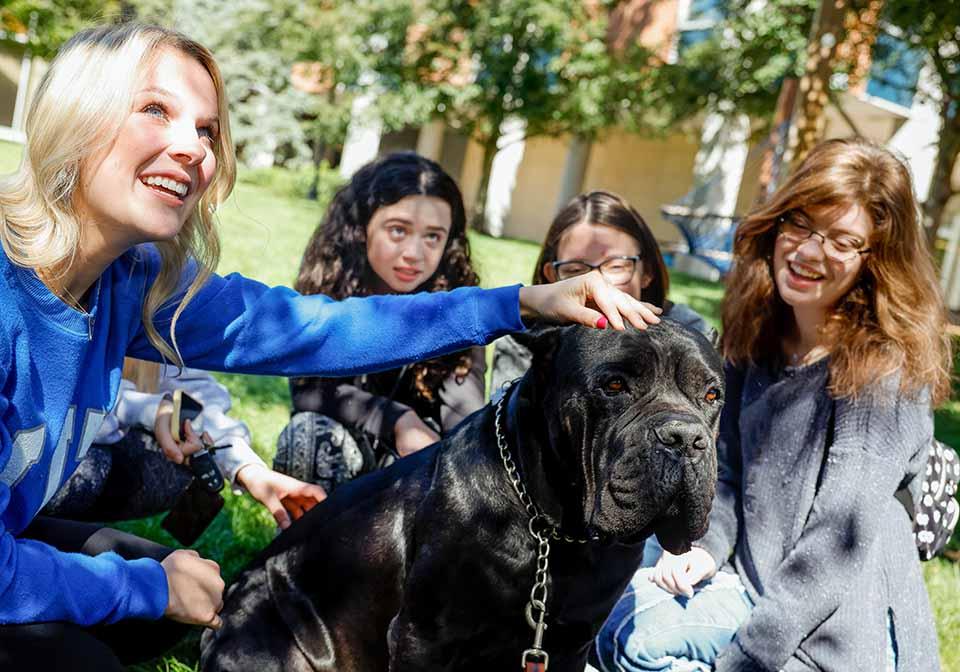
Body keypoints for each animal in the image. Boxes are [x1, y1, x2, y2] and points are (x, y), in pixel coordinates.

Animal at [206, 322, 724, 668]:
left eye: (713, 395)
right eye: (614, 385)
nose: (684, 438)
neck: (556, 532)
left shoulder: (570, 645)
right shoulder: (423, 639)